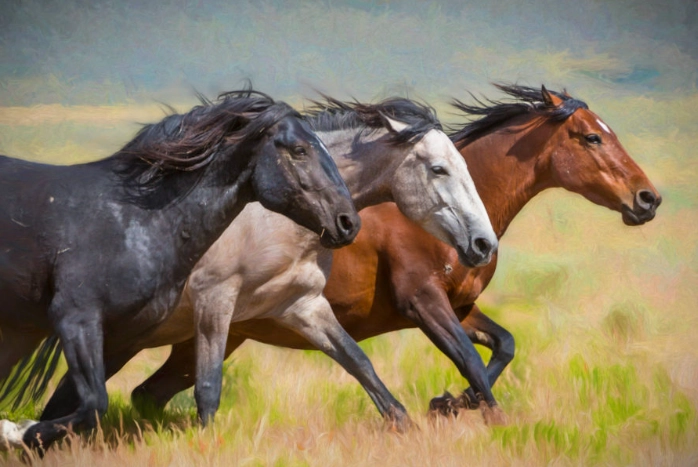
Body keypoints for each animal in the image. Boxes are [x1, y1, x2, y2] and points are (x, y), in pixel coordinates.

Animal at [0, 88, 360, 451]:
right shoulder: (76, 317)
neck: (133, 220)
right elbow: (93, 404)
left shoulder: (121, 335)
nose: (348, 223)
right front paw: (15, 431)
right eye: (299, 150)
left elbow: (72, 404)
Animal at [36, 96, 497, 433]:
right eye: (438, 169)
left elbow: (363, 368)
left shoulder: (302, 306)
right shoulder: (215, 302)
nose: (483, 243)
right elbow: (208, 390)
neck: (271, 217)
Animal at [128, 84, 661, 425]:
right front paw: (482, 417)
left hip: (208, 336)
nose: (648, 199)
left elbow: (504, 346)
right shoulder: (422, 302)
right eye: (592, 136)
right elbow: (472, 361)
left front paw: (448, 404)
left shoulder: (457, 307)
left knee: (147, 394)